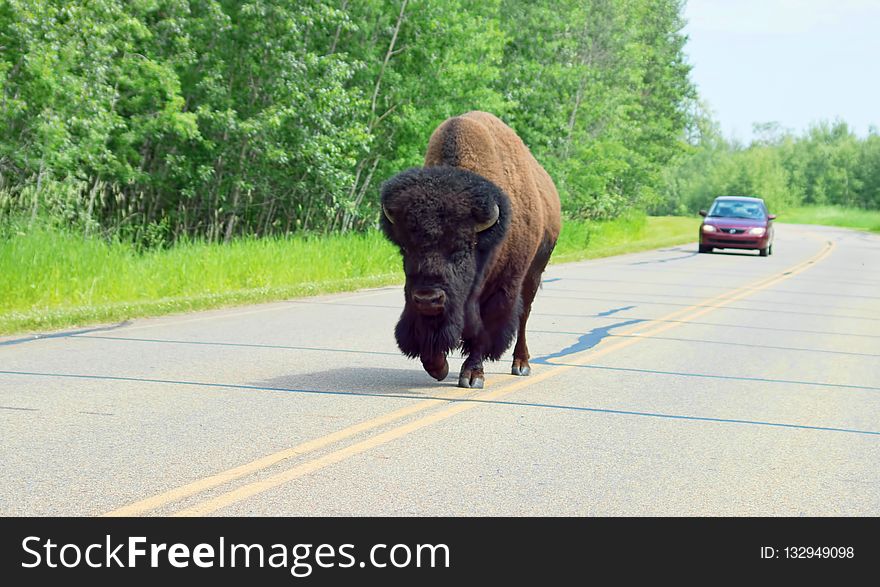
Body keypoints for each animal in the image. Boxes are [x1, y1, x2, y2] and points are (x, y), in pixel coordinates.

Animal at [380, 112, 560, 388]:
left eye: (461, 249)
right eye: (405, 249)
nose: (428, 298)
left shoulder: (501, 287)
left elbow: (483, 328)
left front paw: (472, 375)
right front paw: (438, 367)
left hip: (534, 272)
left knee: (523, 316)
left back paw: (521, 364)